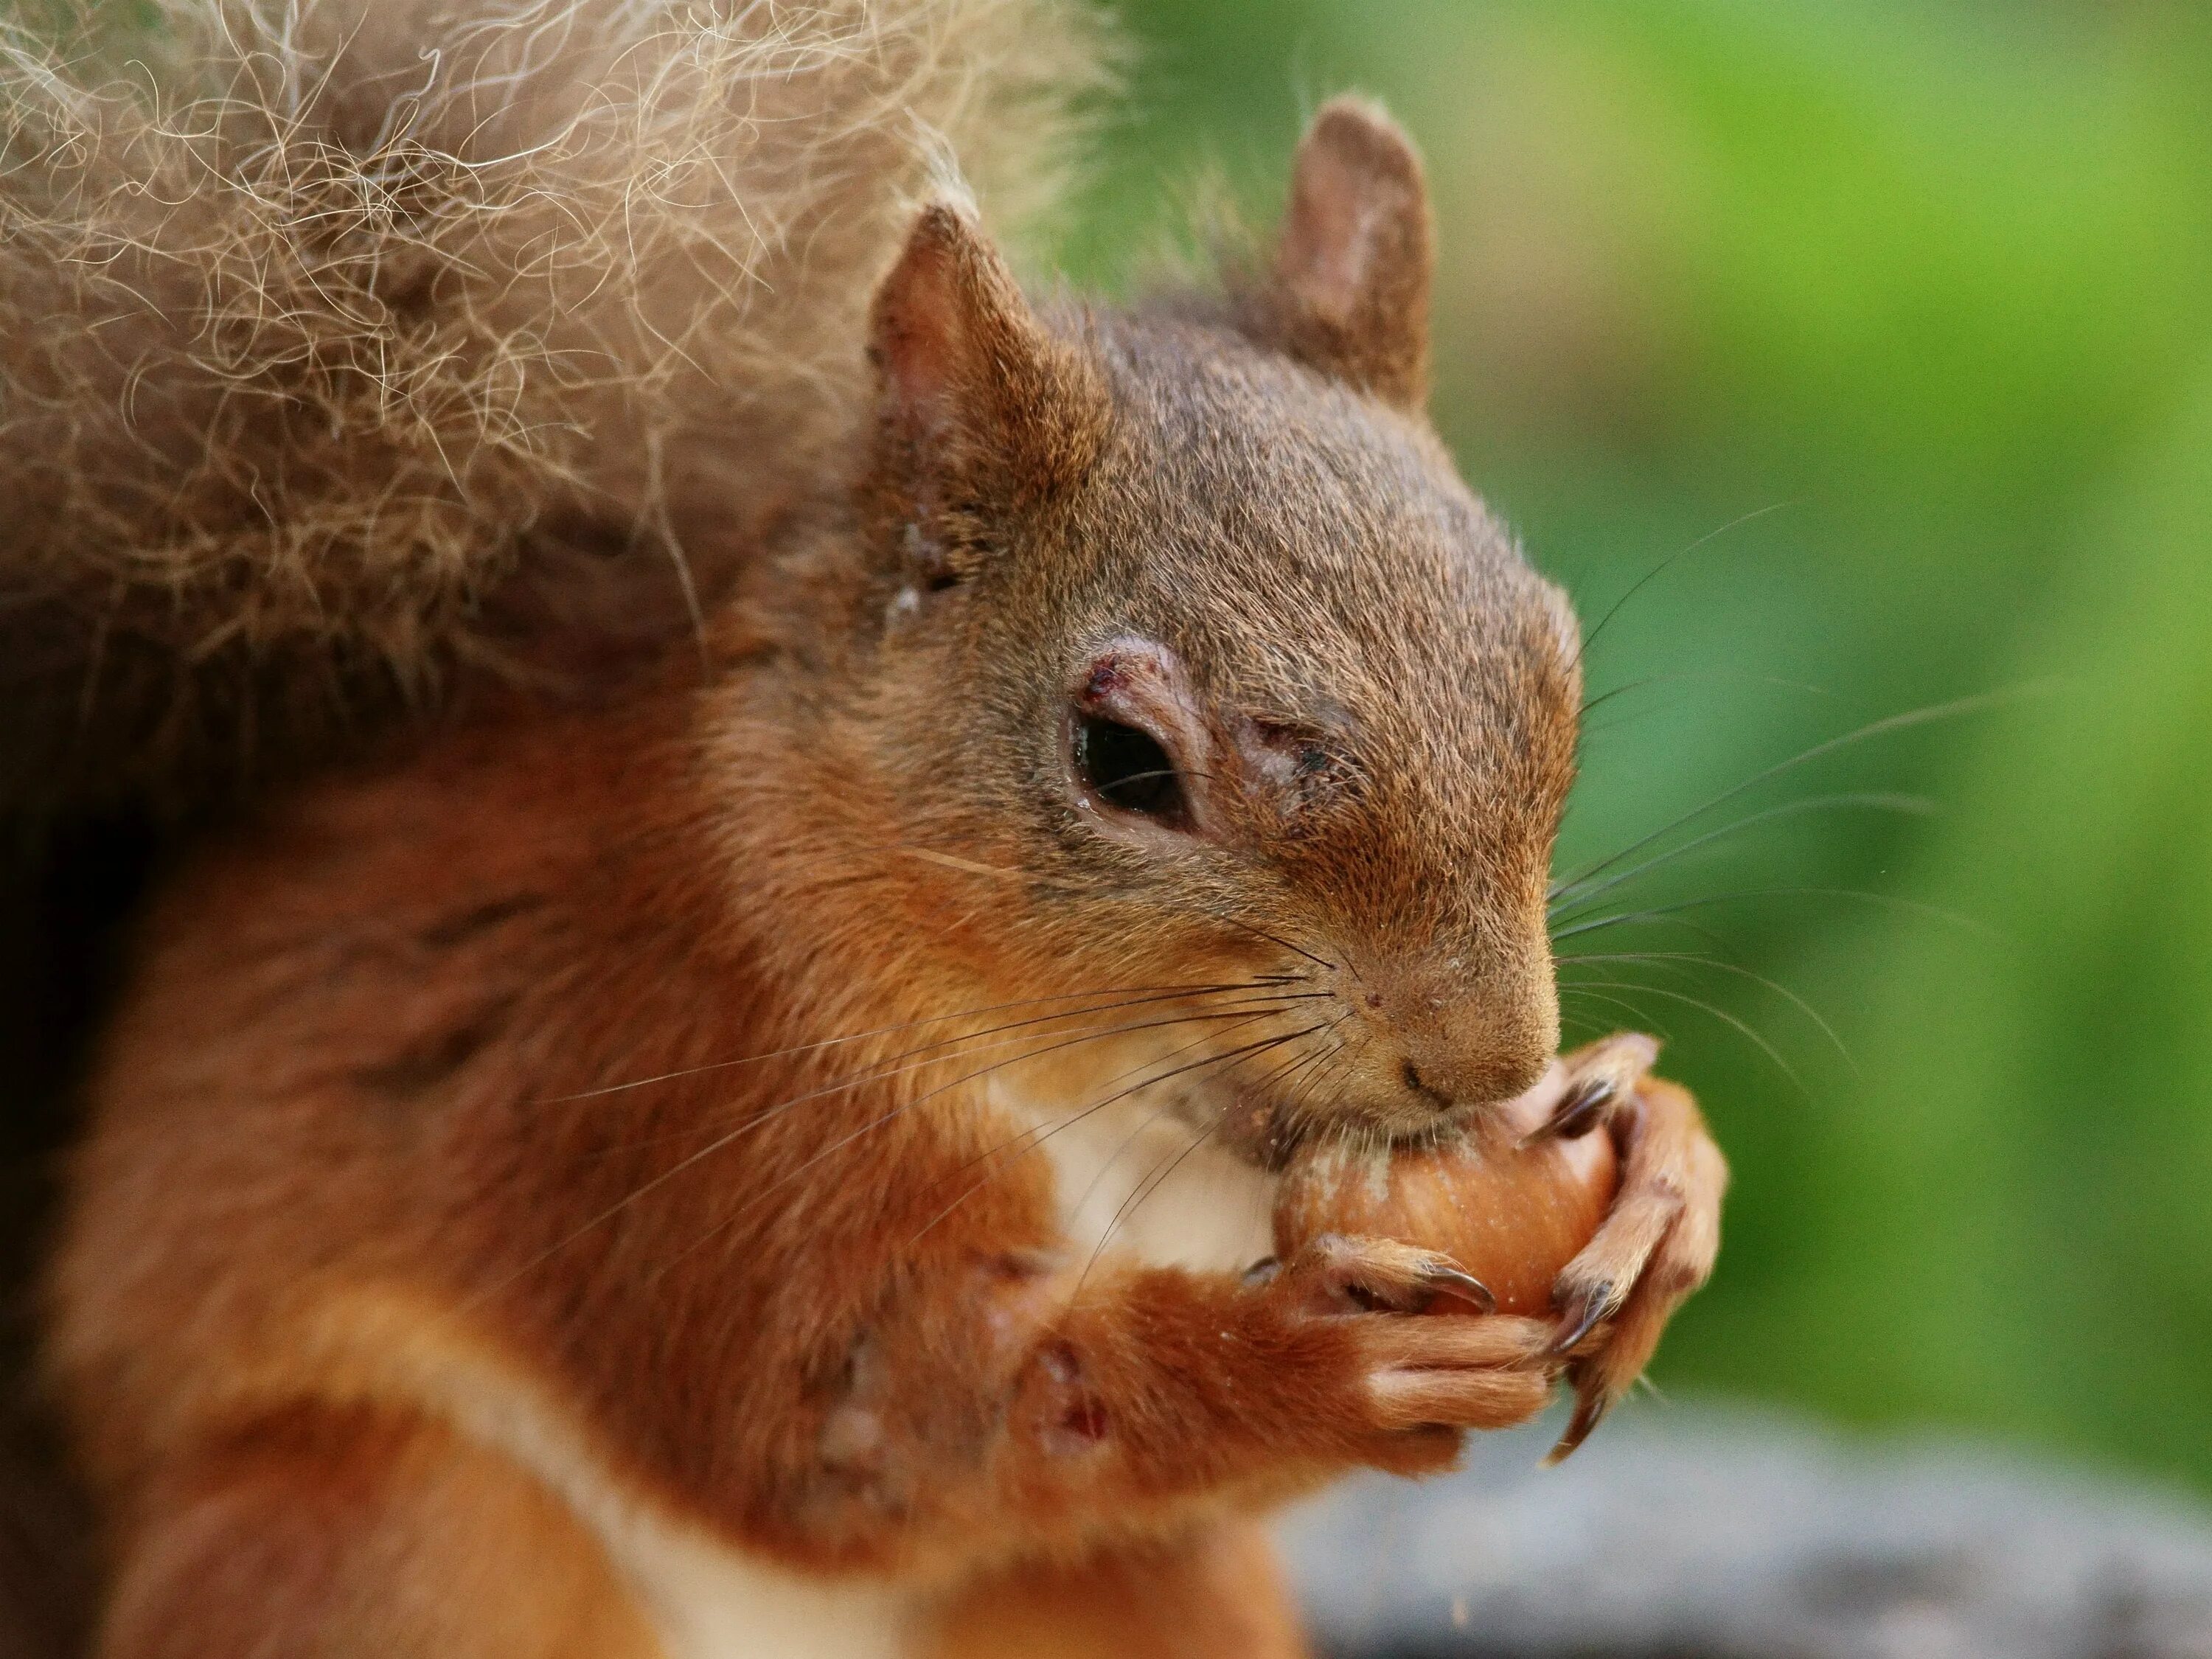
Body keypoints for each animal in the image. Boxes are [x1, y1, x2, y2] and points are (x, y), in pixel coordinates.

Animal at [13, 3, 1725, 1659]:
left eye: (1553, 655)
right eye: (1123, 763)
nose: (1485, 1062)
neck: (1095, 1101)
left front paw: (1659, 1160)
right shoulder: (654, 1084)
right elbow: (842, 1423)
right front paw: (1296, 1358)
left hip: (1151, 1596)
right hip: (390, 1528)